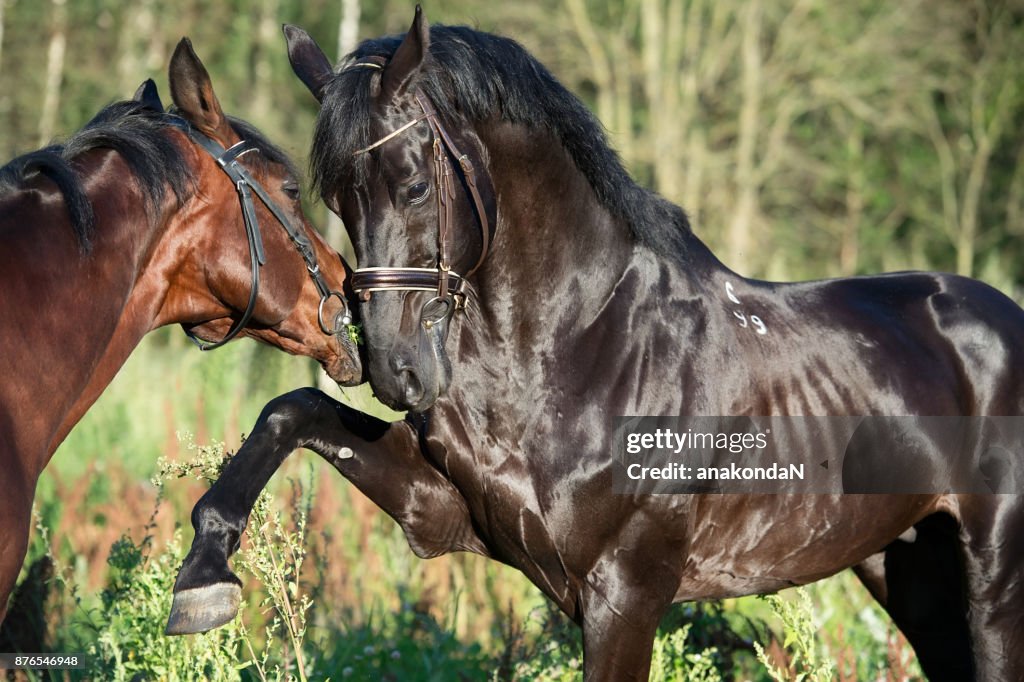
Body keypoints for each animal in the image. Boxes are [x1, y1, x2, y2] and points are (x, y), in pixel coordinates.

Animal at [167, 9, 1024, 675]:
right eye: (337, 198)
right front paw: (201, 578)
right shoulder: (445, 514)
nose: (397, 371)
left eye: (412, 182)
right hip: (909, 570)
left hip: (992, 582)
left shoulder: (627, 597)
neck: (575, 352)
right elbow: (293, 410)